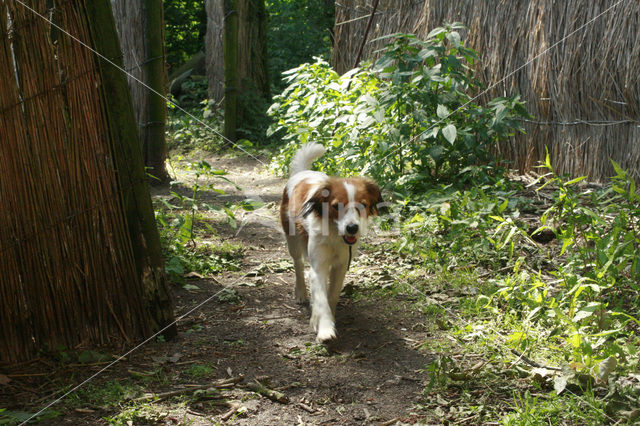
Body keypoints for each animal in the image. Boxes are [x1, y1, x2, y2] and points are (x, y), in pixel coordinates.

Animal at [280, 143, 384, 342]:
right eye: (336, 206)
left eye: (363, 205)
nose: (352, 228)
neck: (335, 235)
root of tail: (302, 172)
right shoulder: (318, 266)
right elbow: (321, 299)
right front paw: (325, 329)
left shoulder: (341, 265)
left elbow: (331, 295)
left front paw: (322, 319)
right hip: (292, 241)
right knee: (298, 265)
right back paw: (301, 292)